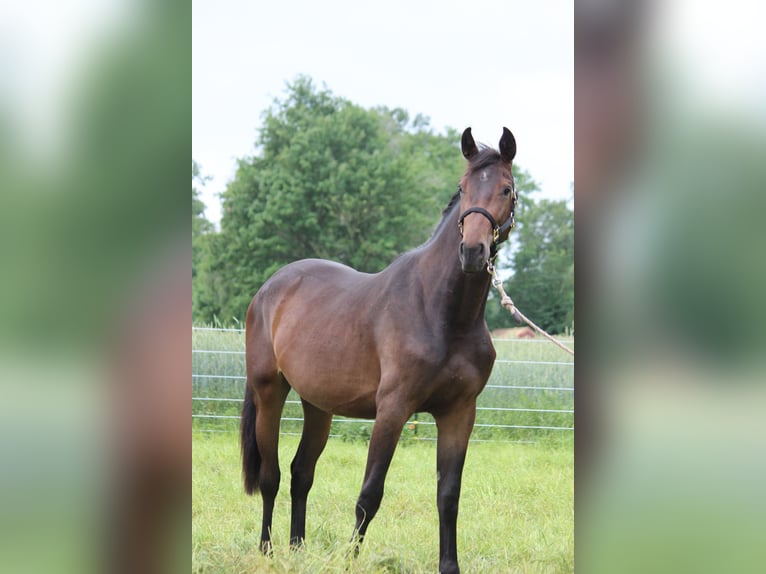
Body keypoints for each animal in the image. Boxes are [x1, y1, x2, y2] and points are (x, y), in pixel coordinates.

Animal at [243, 127, 520, 574]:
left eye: (506, 189)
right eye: (462, 187)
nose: (473, 252)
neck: (442, 312)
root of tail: (270, 288)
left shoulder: (459, 413)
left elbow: (448, 496)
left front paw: (449, 566)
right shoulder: (393, 409)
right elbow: (369, 494)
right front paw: (349, 560)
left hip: (317, 404)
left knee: (302, 472)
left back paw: (298, 548)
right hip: (270, 393)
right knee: (271, 476)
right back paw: (268, 551)